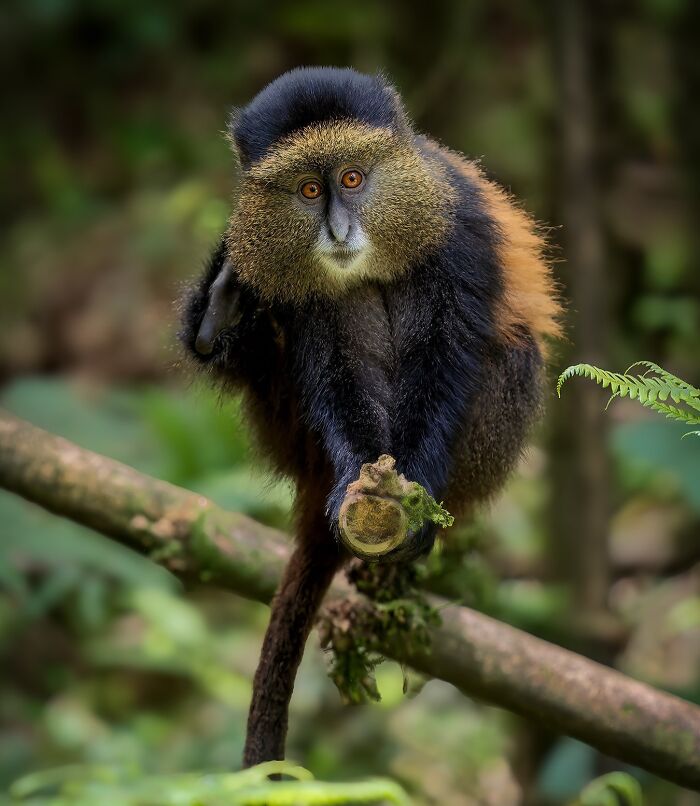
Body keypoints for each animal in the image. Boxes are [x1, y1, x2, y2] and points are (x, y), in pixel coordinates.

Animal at [179, 67, 562, 768]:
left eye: (353, 179)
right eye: (309, 189)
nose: (337, 232)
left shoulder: (461, 232)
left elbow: (446, 355)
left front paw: (414, 501)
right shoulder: (281, 278)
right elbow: (332, 368)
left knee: (506, 353)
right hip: (288, 430)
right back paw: (217, 321)